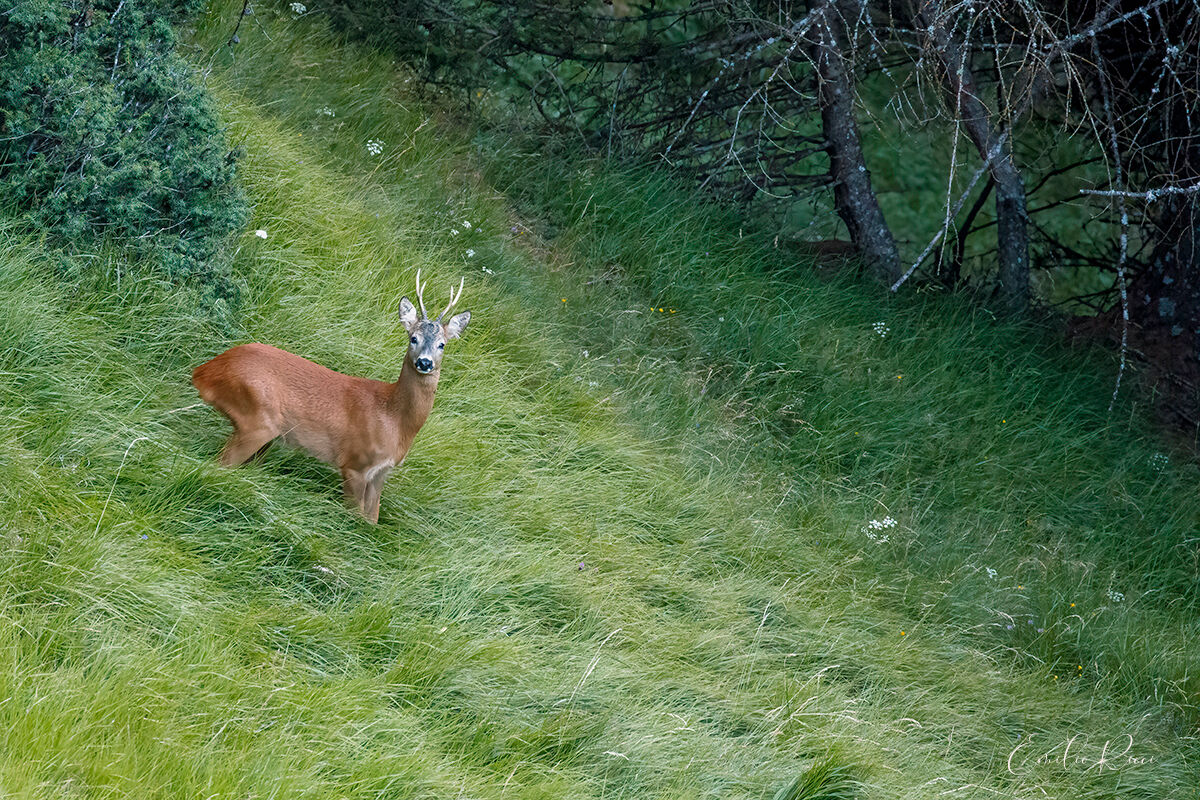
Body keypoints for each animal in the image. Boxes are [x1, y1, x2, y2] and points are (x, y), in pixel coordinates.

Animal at [192, 270, 470, 523]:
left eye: (442, 344)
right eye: (414, 338)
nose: (424, 362)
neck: (394, 420)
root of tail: (203, 372)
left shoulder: (382, 472)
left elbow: (371, 520)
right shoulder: (355, 463)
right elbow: (355, 516)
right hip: (256, 419)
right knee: (220, 464)